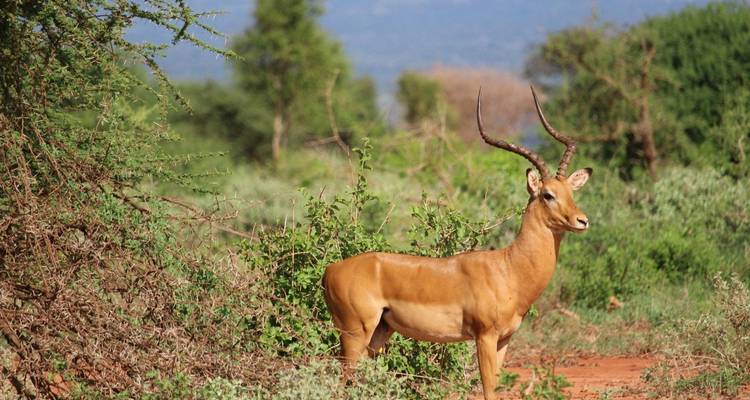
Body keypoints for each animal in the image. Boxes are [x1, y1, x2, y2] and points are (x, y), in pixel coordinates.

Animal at [322, 86, 592, 400]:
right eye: (548, 194)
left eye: (571, 192)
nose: (582, 220)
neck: (509, 269)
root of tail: (330, 271)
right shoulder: (484, 336)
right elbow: (488, 390)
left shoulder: (505, 340)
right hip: (354, 334)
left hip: (379, 333)